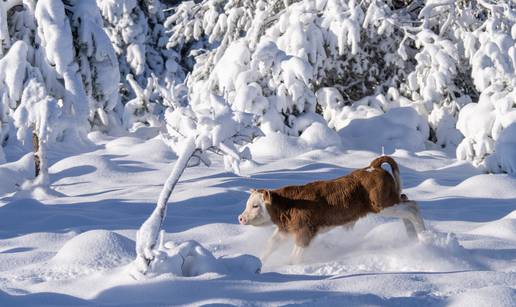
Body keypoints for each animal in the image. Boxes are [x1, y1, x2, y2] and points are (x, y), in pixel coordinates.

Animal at [240, 156, 426, 264]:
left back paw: (425, 239)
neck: (289, 203)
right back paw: (412, 238)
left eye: (255, 205)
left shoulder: (305, 231)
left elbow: (295, 255)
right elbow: (270, 245)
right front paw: (260, 263)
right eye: (248, 204)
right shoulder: (286, 229)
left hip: (383, 205)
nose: (241, 218)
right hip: (392, 202)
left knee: (412, 208)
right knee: (407, 206)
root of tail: (373, 167)